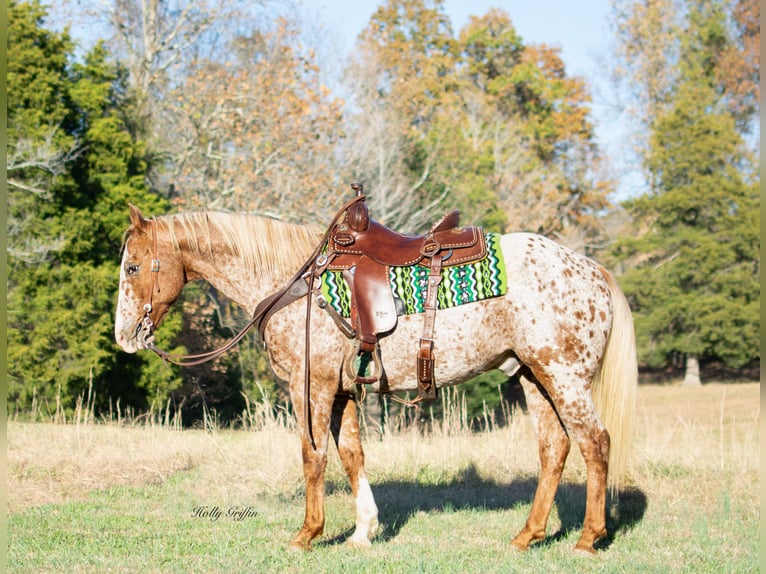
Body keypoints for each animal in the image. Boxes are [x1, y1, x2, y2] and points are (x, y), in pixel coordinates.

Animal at [114, 204, 640, 560]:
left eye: (133, 266)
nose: (124, 335)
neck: (293, 284)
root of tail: (593, 269)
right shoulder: (344, 390)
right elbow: (352, 455)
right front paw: (363, 530)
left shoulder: (311, 385)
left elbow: (313, 457)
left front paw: (307, 534)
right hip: (534, 375)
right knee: (555, 449)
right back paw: (527, 536)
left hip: (565, 377)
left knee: (595, 443)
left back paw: (588, 538)